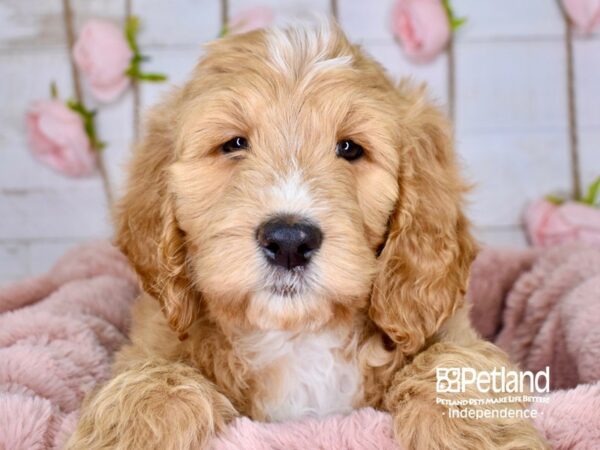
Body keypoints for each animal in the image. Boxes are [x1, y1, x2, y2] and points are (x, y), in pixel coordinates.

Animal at [69, 20, 548, 450]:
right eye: (234, 144)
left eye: (350, 149)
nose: (289, 242)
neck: (298, 337)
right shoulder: (154, 338)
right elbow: (154, 378)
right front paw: (129, 432)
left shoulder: (445, 329)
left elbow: (454, 364)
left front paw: (473, 436)